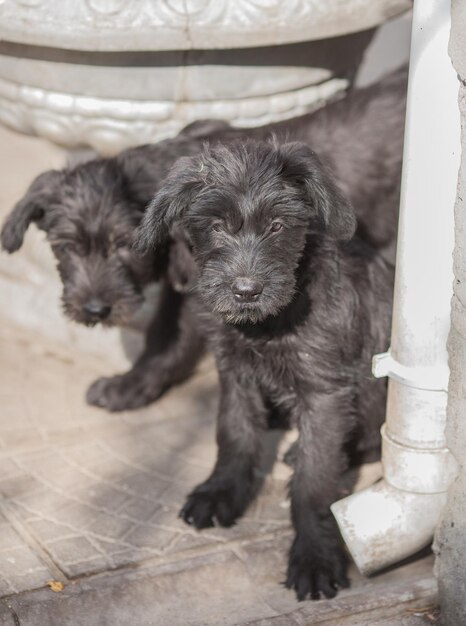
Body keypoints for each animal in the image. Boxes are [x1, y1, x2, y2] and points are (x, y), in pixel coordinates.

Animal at [137, 141, 394, 600]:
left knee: (363, 443)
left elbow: (314, 480)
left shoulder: (324, 393)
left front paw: (314, 556)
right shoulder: (234, 373)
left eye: (277, 226)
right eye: (216, 226)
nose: (246, 291)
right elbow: (234, 433)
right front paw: (220, 492)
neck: (268, 324)